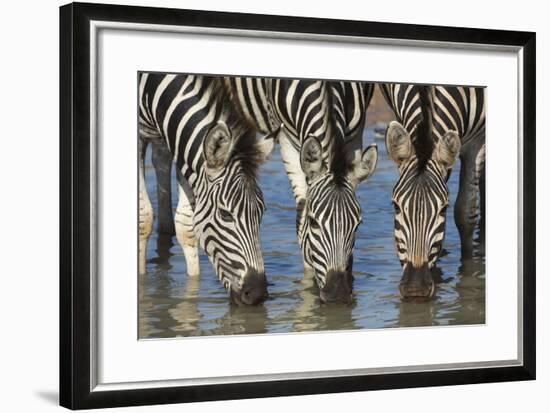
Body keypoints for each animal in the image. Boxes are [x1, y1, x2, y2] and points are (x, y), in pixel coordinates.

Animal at [138, 73, 276, 306]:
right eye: (225, 214)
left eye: (261, 212)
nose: (257, 294)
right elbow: (144, 218)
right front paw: (141, 281)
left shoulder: (178, 141)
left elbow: (186, 225)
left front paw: (192, 290)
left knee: (160, 159)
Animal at [224, 78, 380, 302]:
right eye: (314, 222)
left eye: (357, 225)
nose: (338, 294)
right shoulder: (286, 141)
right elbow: (301, 216)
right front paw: (308, 288)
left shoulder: (355, 136)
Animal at [382, 83, 490, 298]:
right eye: (396, 207)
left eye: (443, 209)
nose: (415, 289)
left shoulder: (477, 140)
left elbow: (465, 214)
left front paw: (468, 274)